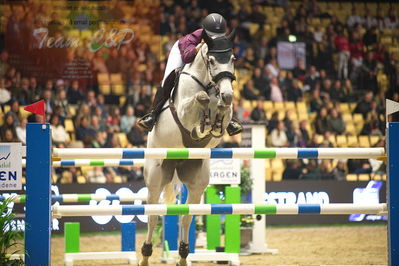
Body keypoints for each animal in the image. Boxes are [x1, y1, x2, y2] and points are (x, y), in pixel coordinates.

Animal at [139, 29, 236, 266]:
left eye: (233, 59)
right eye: (211, 60)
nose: (228, 93)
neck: (210, 84)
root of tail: (176, 161)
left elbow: (223, 112)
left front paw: (216, 117)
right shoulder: (183, 112)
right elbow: (199, 100)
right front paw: (201, 125)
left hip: (196, 182)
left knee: (186, 217)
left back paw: (183, 255)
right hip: (155, 178)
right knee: (153, 216)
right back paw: (145, 255)